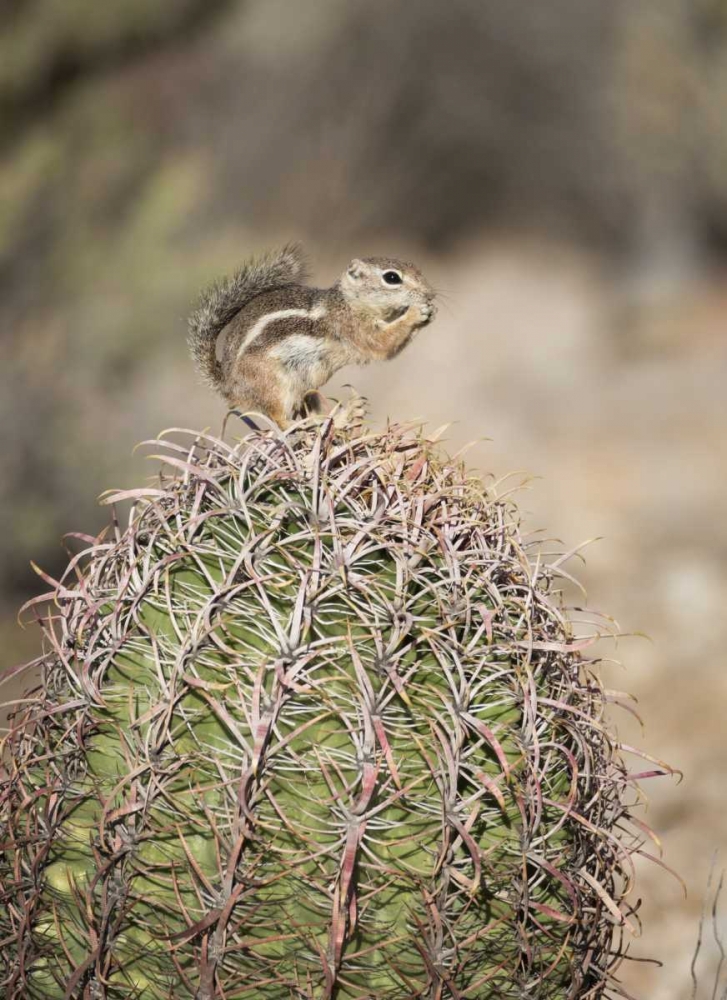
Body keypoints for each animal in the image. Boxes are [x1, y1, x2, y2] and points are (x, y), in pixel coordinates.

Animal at [188, 243, 436, 428]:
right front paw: (415, 313)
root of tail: (228, 385)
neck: (347, 302)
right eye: (392, 278)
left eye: (416, 269)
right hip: (275, 384)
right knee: (281, 421)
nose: (430, 294)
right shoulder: (351, 328)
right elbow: (382, 344)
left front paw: (429, 313)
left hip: (306, 384)